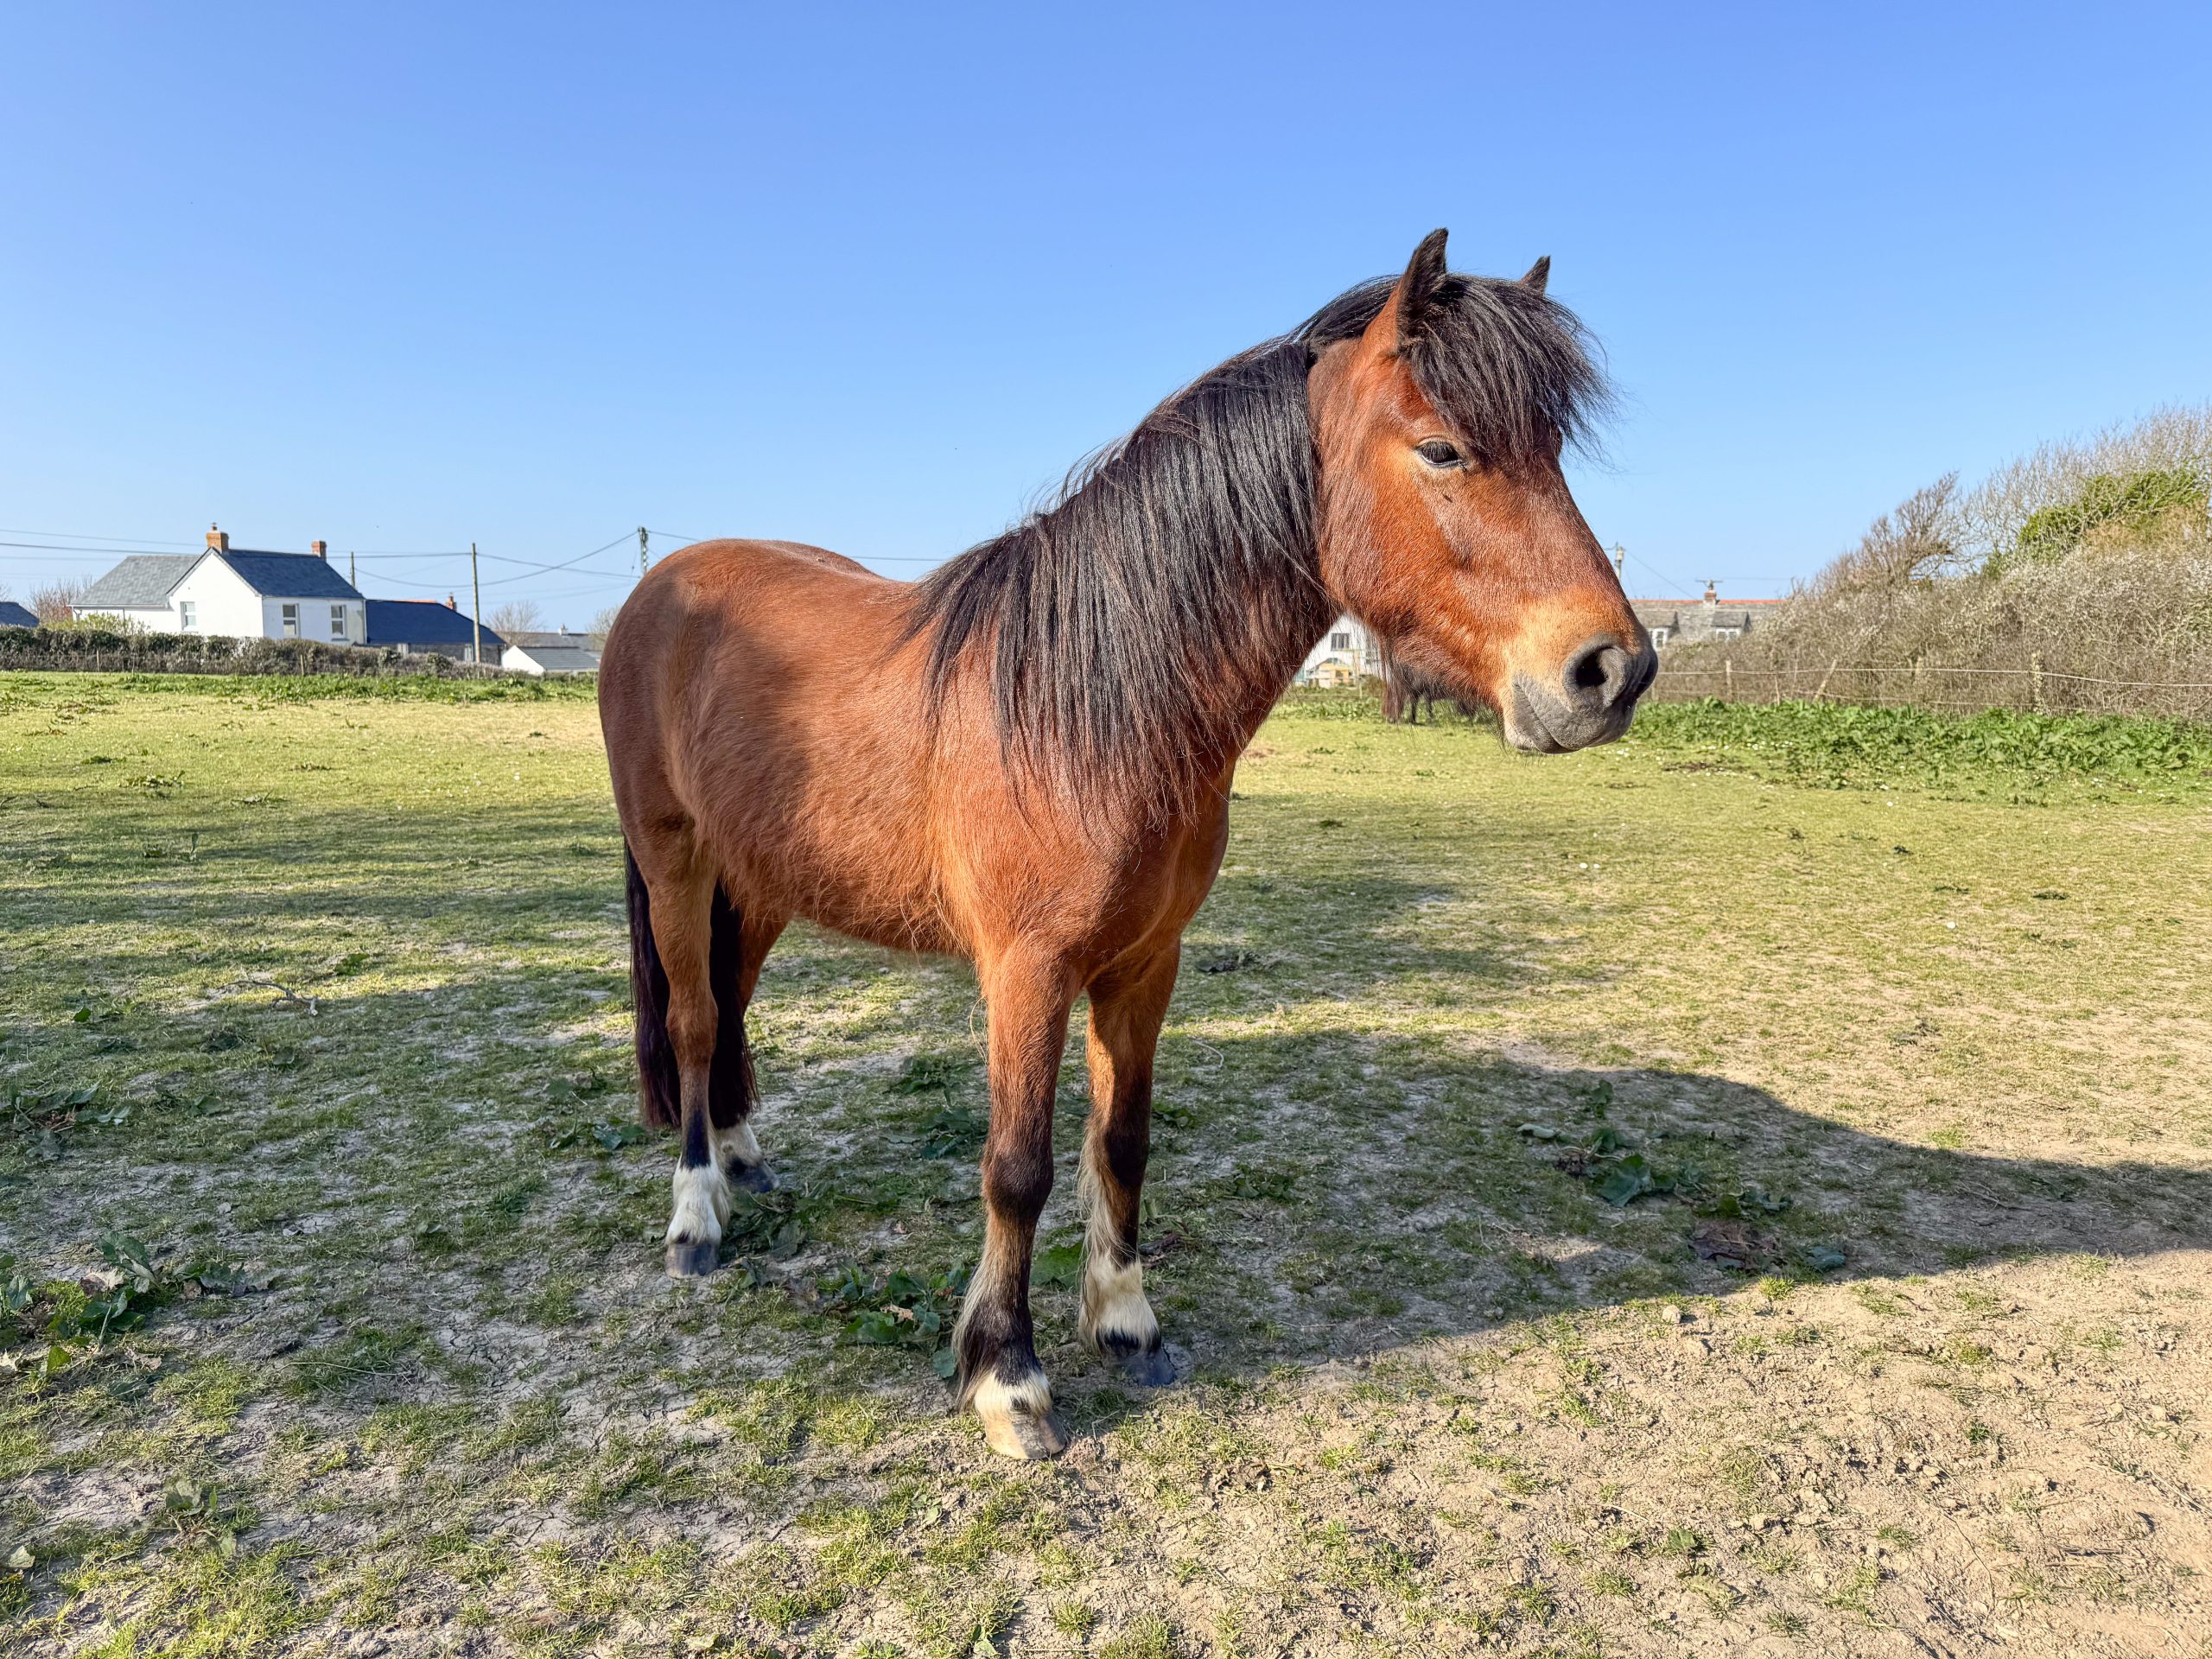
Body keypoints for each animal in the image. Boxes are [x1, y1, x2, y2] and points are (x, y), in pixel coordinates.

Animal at [598, 229, 1656, 1460]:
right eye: (1441, 446)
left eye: (1553, 452)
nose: (1610, 671)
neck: (1093, 706)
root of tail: (661, 587)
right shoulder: (1027, 973)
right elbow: (1017, 1167)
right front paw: (1007, 1378)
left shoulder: (1146, 962)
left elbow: (1124, 1140)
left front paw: (1125, 1318)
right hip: (675, 860)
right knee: (693, 1019)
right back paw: (696, 1216)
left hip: (762, 880)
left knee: (731, 1012)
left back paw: (743, 1157)